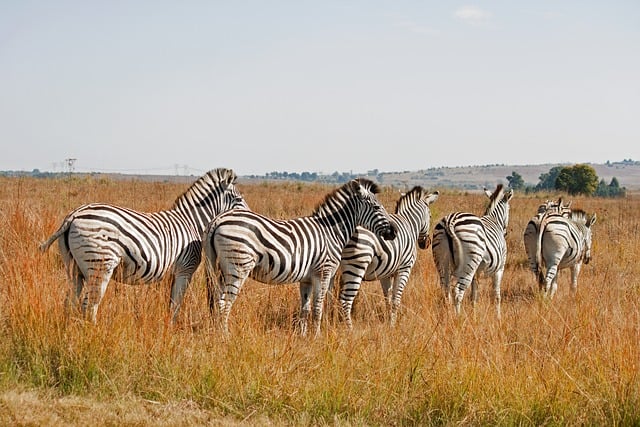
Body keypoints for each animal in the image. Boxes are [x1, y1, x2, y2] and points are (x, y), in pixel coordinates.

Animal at [38, 169, 246, 322]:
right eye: (239, 200)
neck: (191, 222)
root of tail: (73, 215)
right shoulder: (185, 269)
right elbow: (177, 303)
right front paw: (172, 328)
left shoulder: (174, 271)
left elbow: (170, 302)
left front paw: (167, 326)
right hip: (100, 265)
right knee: (89, 306)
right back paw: (94, 336)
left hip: (74, 269)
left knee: (70, 302)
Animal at [204, 178, 396, 338]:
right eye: (377, 207)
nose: (393, 232)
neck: (331, 232)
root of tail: (219, 219)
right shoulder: (323, 273)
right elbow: (318, 307)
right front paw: (317, 336)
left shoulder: (307, 279)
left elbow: (305, 308)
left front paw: (303, 336)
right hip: (237, 266)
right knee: (225, 302)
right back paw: (225, 335)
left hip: (219, 269)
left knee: (218, 301)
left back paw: (216, 332)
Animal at [336, 186, 440, 330]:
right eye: (430, 216)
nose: (426, 244)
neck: (409, 224)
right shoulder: (404, 268)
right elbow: (396, 299)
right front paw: (393, 325)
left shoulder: (385, 273)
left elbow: (388, 299)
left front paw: (388, 320)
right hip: (356, 266)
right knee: (345, 301)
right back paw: (349, 329)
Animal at [430, 184, 516, 318]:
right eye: (509, 209)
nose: (505, 233)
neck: (494, 219)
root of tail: (450, 221)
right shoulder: (499, 268)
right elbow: (496, 296)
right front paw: (498, 318)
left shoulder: (477, 271)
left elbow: (473, 296)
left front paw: (473, 316)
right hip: (469, 262)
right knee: (457, 291)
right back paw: (458, 318)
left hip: (442, 261)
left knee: (445, 290)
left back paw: (447, 316)